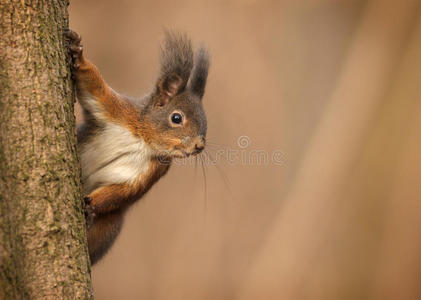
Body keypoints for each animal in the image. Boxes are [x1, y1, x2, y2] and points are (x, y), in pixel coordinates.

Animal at [64, 30, 208, 264]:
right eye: (176, 118)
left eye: (206, 122)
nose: (199, 146)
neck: (143, 141)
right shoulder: (118, 110)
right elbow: (93, 86)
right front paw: (77, 53)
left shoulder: (154, 170)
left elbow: (125, 190)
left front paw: (90, 204)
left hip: (109, 227)